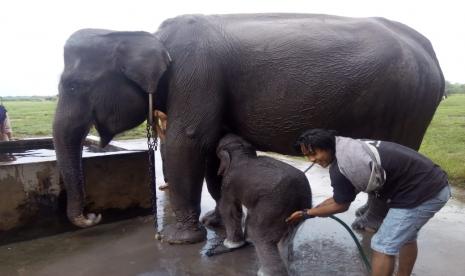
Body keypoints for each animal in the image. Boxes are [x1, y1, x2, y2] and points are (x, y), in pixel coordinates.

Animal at [52, 14, 444, 244]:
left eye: (72, 85)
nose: (92, 215)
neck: (149, 35)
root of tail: (430, 52)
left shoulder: (196, 74)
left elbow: (186, 141)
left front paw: (180, 240)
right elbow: (213, 147)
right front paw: (214, 223)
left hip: (409, 104)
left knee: (394, 152)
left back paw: (367, 228)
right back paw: (363, 219)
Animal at [217, 134, 312, 276]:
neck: (242, 151)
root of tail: (299, 195)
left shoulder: (229, 184)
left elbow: (228, 208)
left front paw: (230, 244)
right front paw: (247, 240)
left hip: (273, 207)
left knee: (260, 233)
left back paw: (265, 272)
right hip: (297, 213)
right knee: (286, 239)